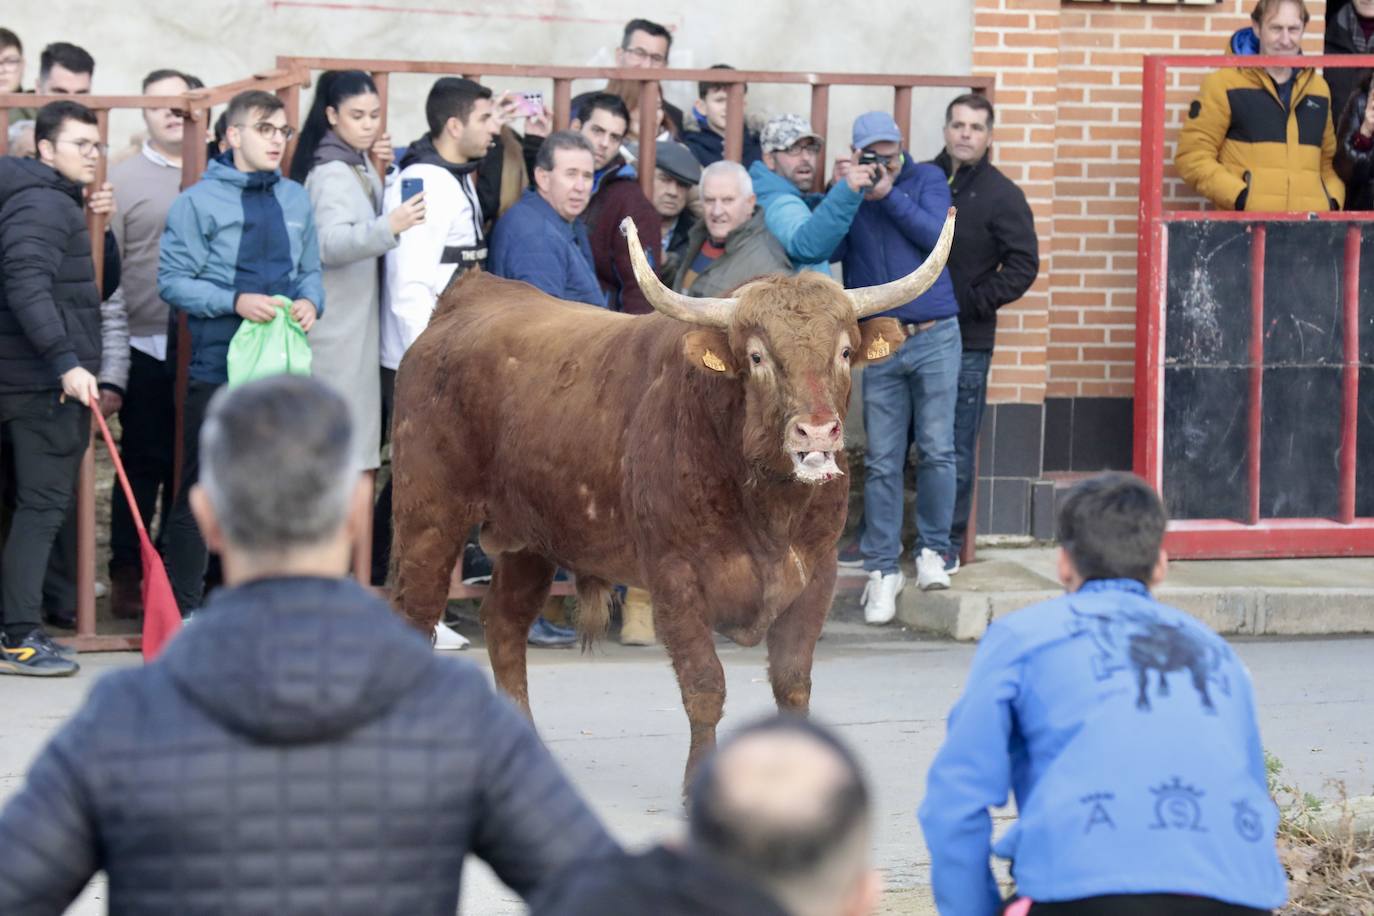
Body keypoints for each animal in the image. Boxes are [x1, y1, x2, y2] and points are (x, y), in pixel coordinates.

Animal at [392, 210, 956, 791]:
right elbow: (705, 685)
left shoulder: (816, 576)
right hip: (428, 518)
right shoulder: (675, 578)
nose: (817, 431)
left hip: (529, 541)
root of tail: (465, 301)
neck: (768, 510)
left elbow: (792, 682)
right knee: (416, 618)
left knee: (505, 626)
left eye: (844, 351)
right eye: (757, 356)